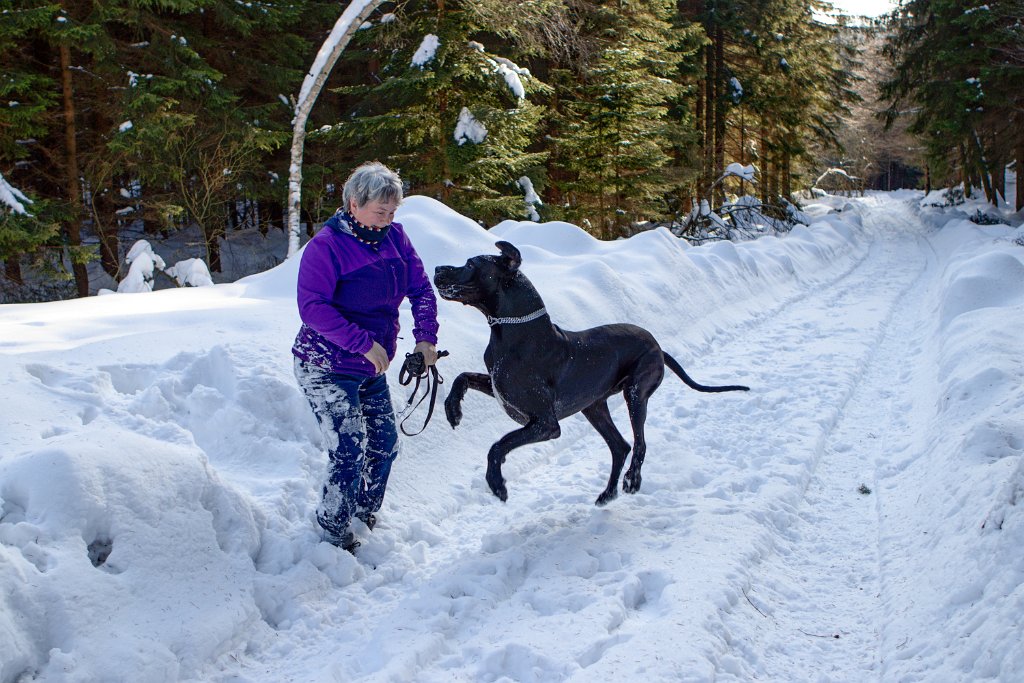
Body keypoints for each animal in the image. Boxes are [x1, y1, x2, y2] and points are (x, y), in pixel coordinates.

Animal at [430, 242, 745, 505]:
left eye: (471, 263)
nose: (436, 268)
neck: (512, 331)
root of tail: (657, 345)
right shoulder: (499, 387)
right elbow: (462, 377)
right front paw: (452, 410)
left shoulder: (545, 424)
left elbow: (498, 445)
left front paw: (497, 483)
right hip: (594, 406)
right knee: (620, 446)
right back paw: (607, 493)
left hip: (636, 393)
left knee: (640, 443)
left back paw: (632, 480)